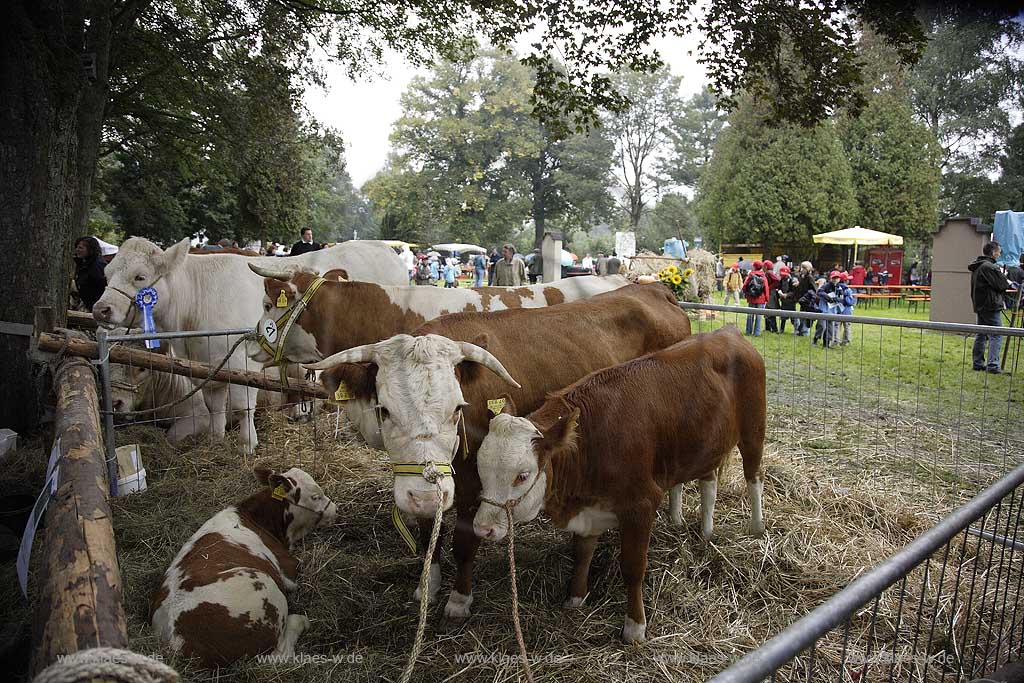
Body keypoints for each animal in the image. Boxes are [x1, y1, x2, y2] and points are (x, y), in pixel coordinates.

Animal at [150, 466, 335, 663]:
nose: (335, 509)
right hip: (265, 587)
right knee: (280, 653)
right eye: (315, 496)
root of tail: (178, 641)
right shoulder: (289, 569)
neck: (256, 518)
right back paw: (300, 621)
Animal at [299, 282, 692, 618]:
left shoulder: (477, 485)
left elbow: (463, 541)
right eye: (384, 410)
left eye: (457, 408)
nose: (425, 495)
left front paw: (459, 599)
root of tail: (653, 289)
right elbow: (429, 535)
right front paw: (428, 586)